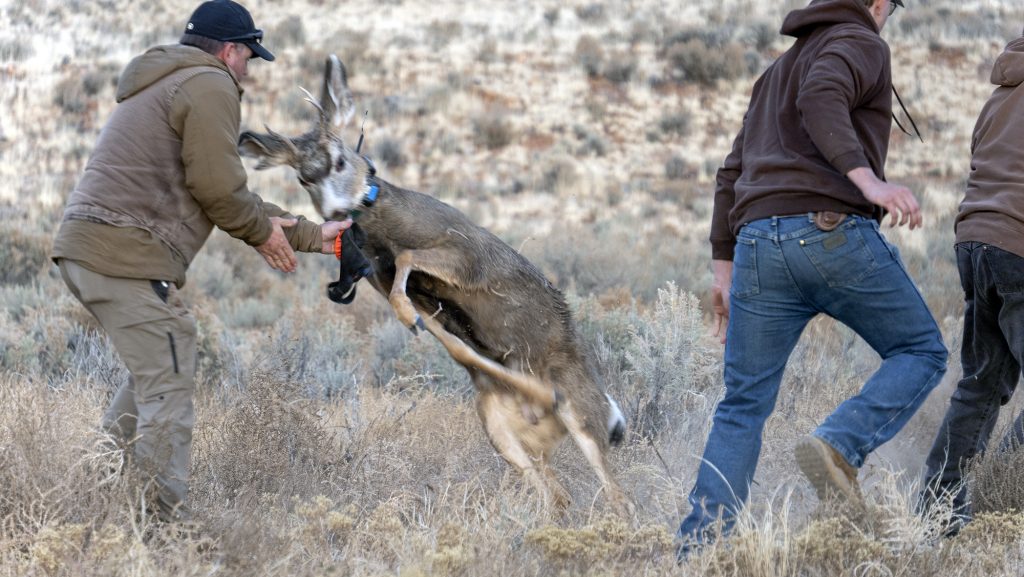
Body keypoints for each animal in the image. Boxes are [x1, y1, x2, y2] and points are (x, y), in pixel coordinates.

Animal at [239, 55, 630, 514]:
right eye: (303, 177)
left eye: (339, 160)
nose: (336, 210)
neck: (384, 228)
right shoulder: (398, 286)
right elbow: (454, 342)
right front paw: (412, 320)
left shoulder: (465, 256)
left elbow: (411, 259)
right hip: (503, 435)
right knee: (558, 496)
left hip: (584, 416)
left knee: (616, 494)